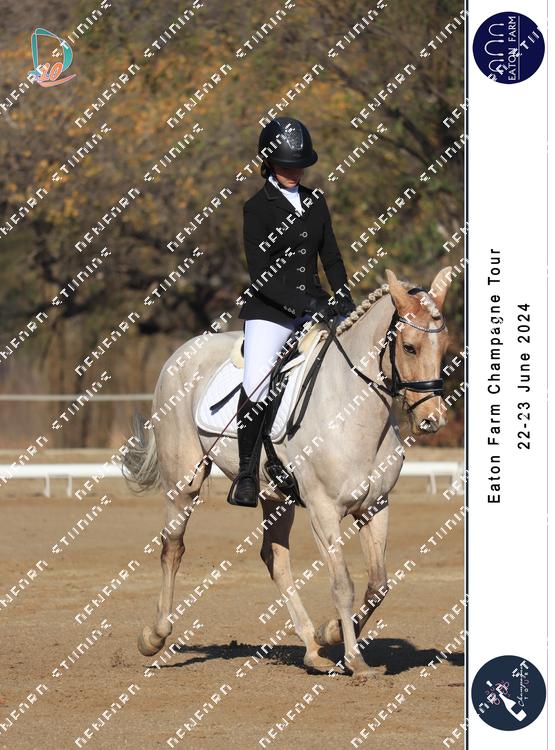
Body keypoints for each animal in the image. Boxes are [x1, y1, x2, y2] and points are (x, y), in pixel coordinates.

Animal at [123, 267, 453, 679]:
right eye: (409, 347)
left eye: (445, 347)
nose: (431, 420)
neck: (353, 407)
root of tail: (182, 353)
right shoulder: (324, 511)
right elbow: (342, 584)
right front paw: (356, 661)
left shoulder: (376, 506)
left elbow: (378, 584)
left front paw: (332, 633)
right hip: (184, 480)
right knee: (173, 547)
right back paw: (154, 637)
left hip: (274, 495)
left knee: (275, 560)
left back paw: (312, 648)